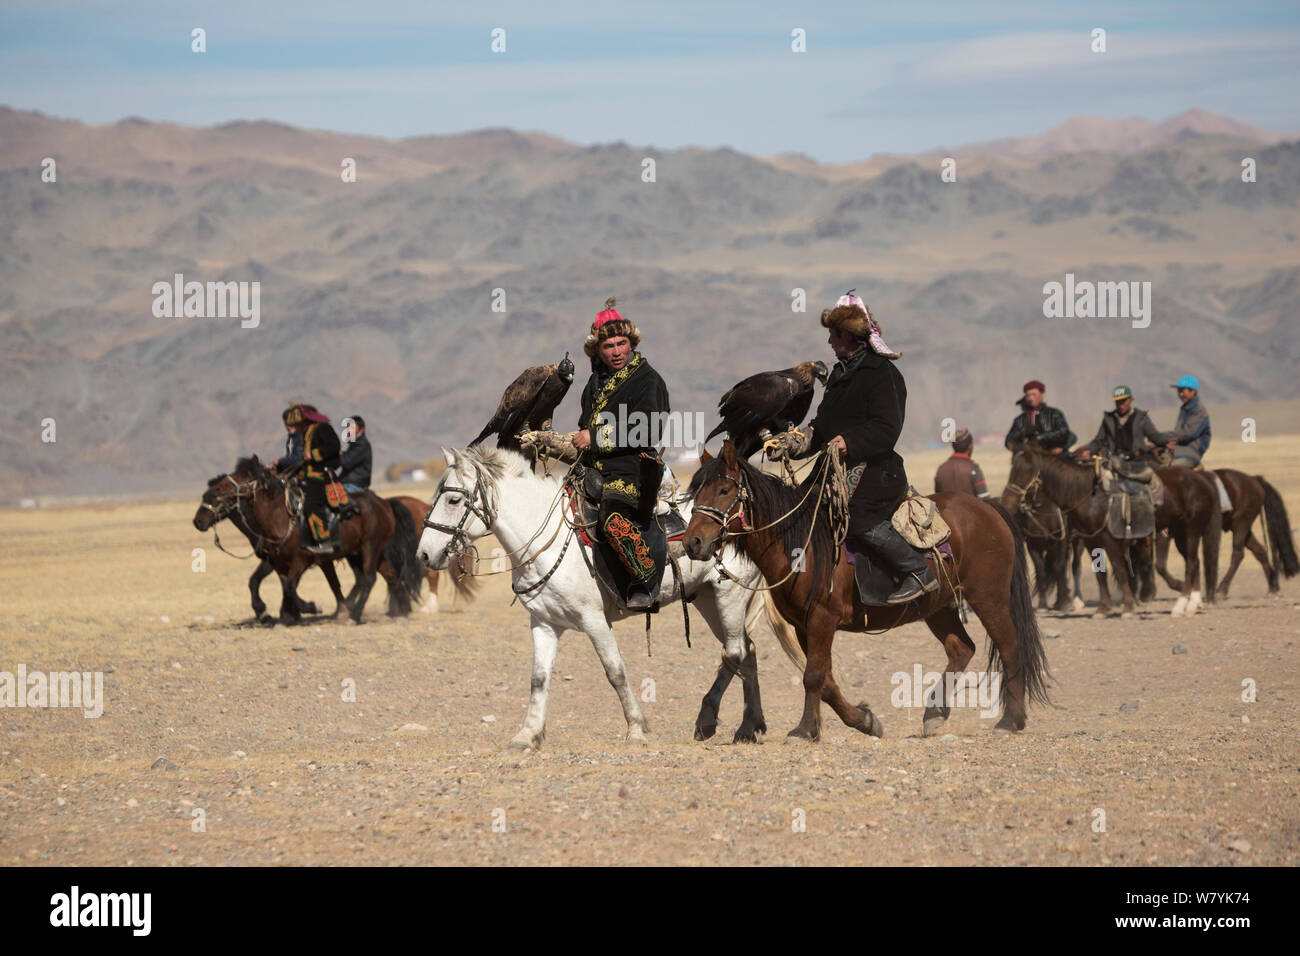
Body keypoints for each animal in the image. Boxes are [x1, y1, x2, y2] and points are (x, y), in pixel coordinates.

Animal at [416, 444, 785, 749]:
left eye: (453, 500)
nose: (423, 555)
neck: (543, 543)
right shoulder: (544, 623)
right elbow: (539, 679)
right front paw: (527, 734)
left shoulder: (593, 620)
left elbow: (615, 672)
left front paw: (636, 728)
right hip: (707, 598)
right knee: (746, 651)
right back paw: (750, 726)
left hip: (729, 595)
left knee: (735, 651)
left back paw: (713, 722)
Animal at [686, 442, 1050, 738]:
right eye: (697, 491)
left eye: (723, 490)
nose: (693, 543)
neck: (802, 543)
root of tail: (989, 509)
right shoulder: (804, 625)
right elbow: (825, 681)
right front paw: (863, 720)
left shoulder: (822, 620)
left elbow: (813, 676)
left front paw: (804, 730)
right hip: (939, 607)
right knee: (962, 649)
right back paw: (935, 714)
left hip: (988, 598)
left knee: (1010, 648)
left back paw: (1010, 720)